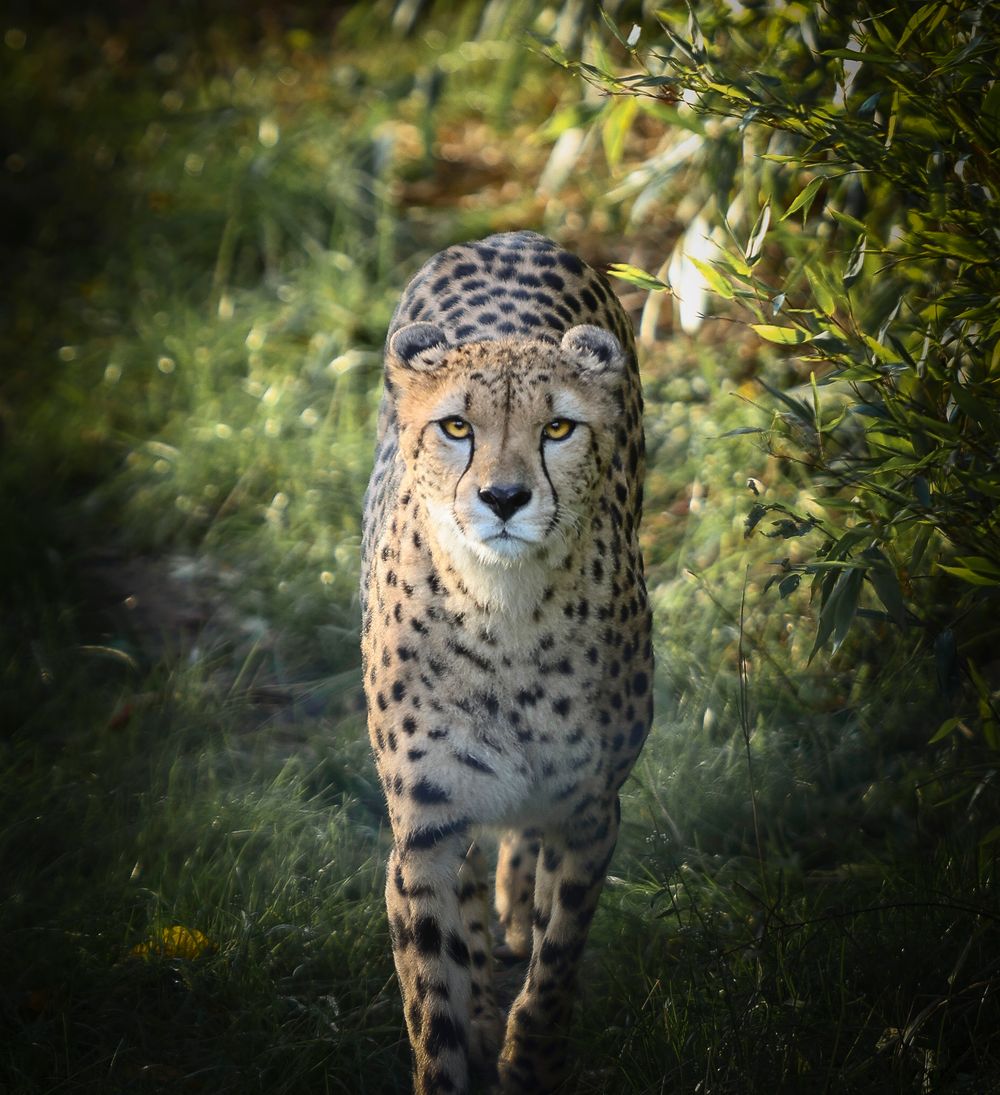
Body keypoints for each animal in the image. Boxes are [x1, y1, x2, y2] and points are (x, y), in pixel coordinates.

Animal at [360, 230, 653, 1094]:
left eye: (558, 429)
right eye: (456, 426)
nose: (503, 497)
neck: (504, 612)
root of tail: (508, 235)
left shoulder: (593, 809)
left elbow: (559, 958)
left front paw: (532, 1056)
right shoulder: (421, 831)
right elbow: (434, 1001)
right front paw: (468, 1044)